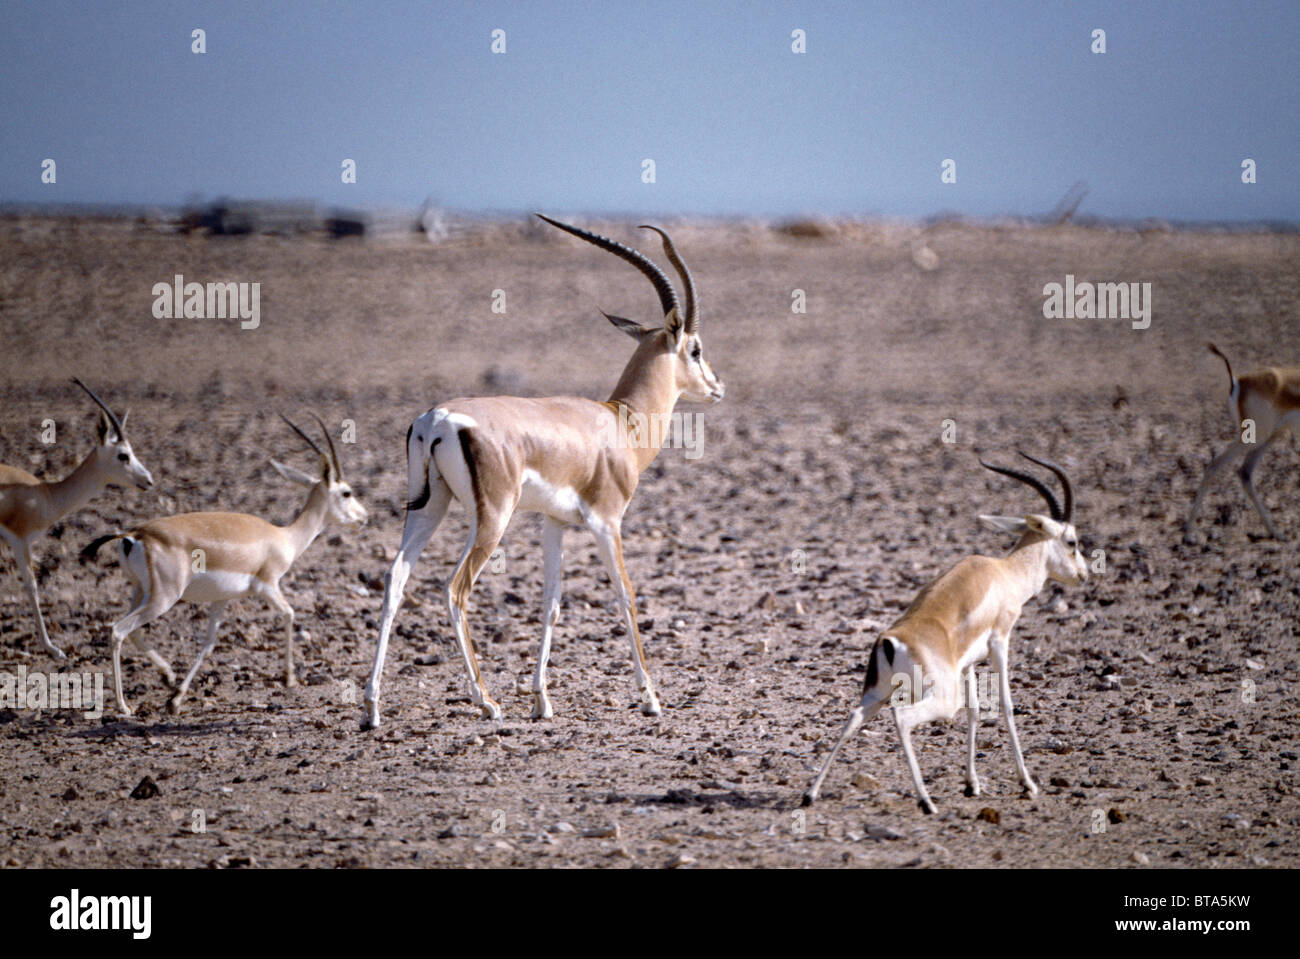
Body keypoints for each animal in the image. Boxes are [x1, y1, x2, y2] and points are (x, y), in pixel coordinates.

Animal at [0, 379, 154, 659]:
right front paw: (52, 648)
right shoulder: (20, 540)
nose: (148, 480)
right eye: (123, 455)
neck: (46, 494)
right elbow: (32, 586)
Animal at [81, 415, 367, 716]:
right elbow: (289, 614)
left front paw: (176, 697)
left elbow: (208, 644)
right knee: (118, 630)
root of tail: (136, 534)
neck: (284, 537)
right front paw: (289, 678)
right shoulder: (268, 585)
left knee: (132, 630)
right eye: (346, 492)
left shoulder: (222, 599)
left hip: (140, 592)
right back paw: (123, 705)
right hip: (163, 598)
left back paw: (167, 676)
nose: (364, 518)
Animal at [362, 214, 725, 728]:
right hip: (492, 519)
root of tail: (437, 419)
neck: (621, 422)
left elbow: (550, 604)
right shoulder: (606, 522)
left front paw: (542, 700)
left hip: (429, 508)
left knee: (395, 579)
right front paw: (651, 697)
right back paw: (486, 701)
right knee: (455, 589)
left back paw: (372, 707)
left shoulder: (554, 524)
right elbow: (626, 594)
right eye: (695, 350)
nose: (717, 386)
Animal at [803, 453, 1088, 814]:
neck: (1005, 573)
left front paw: (972, 784)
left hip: (877, 694)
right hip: (936, 698)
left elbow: (975, 711)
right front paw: (1028, 783)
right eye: (1072, 542)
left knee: (853, 717)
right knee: (902, 718)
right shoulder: (1000, 641)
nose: (1084, 575)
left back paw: (810, 794)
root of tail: (890, 641)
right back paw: (926, 801)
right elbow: (1006, 705)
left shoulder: (968, 663)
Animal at [1185, 342, 1300, 541]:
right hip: (1255, 438)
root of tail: (1237, 381)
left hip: (1269, 437)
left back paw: (1276, 532)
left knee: (1245, 473)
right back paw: (1188, 533)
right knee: (1215, 465)